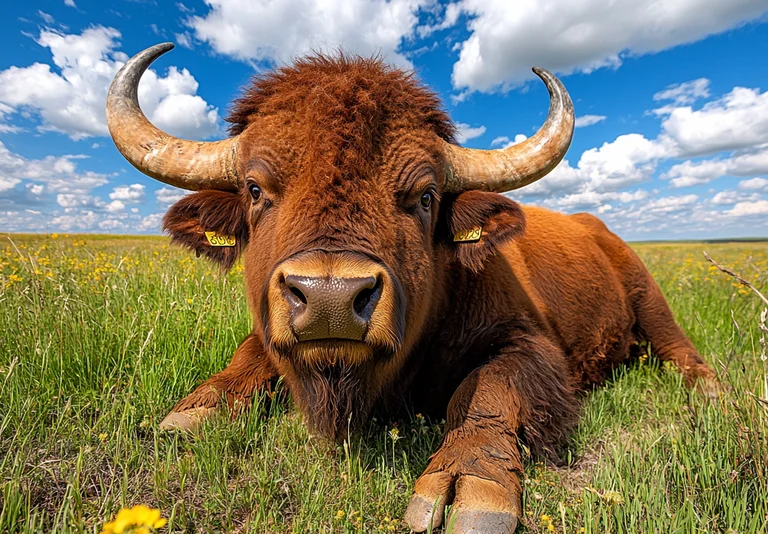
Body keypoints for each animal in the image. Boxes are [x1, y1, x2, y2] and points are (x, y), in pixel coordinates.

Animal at [106, 43, 717, 533]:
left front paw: (470, 492)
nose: (330, 299)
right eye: (255, 189)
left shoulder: (531, 346)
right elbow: (248, 357)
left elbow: (488, 390)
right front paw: (187, 418)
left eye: (424, 196)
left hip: (648, 297)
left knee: (681, 351)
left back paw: (710, 396)